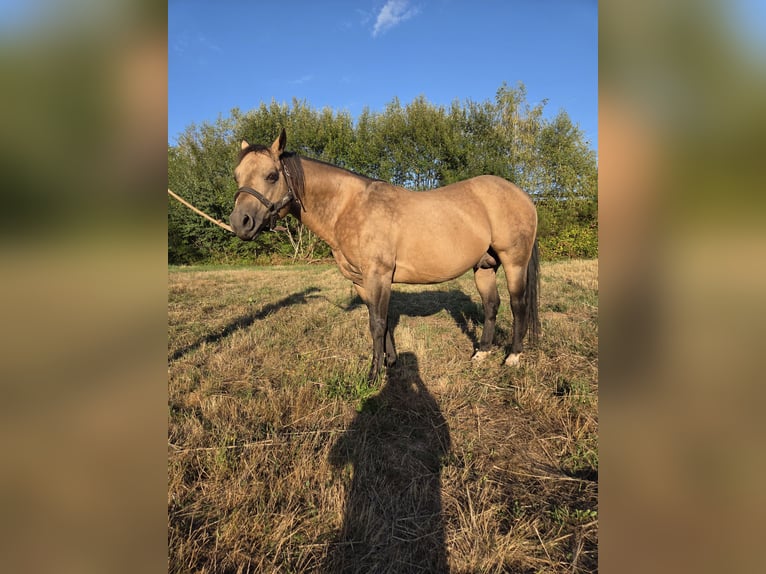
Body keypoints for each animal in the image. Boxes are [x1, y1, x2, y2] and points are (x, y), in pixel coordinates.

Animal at [230, 129, 539, 380]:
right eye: (237, 176)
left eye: (272, 175)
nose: (239, 222)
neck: (349, 207)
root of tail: (523, 195)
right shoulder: (361, 281)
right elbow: (383, 320)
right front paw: (390, 363)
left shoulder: (377, 275)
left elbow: (377, 324)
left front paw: (374, 374)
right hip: (484, 266)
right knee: (491, 305)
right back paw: (482, 353)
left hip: (514, 262)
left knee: (518, 305)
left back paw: (513, 356)